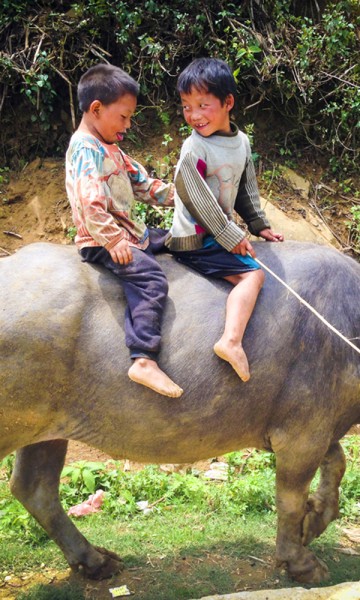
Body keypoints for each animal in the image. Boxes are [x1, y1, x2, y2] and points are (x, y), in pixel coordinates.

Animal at [0, 239, 358, 580]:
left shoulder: (316, 426)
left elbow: (337, 463)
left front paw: (314, 522)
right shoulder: (302, 435)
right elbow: (290, 499)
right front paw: (300, 561)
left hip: (46, 429)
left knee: (35, 489)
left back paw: (95, 562)